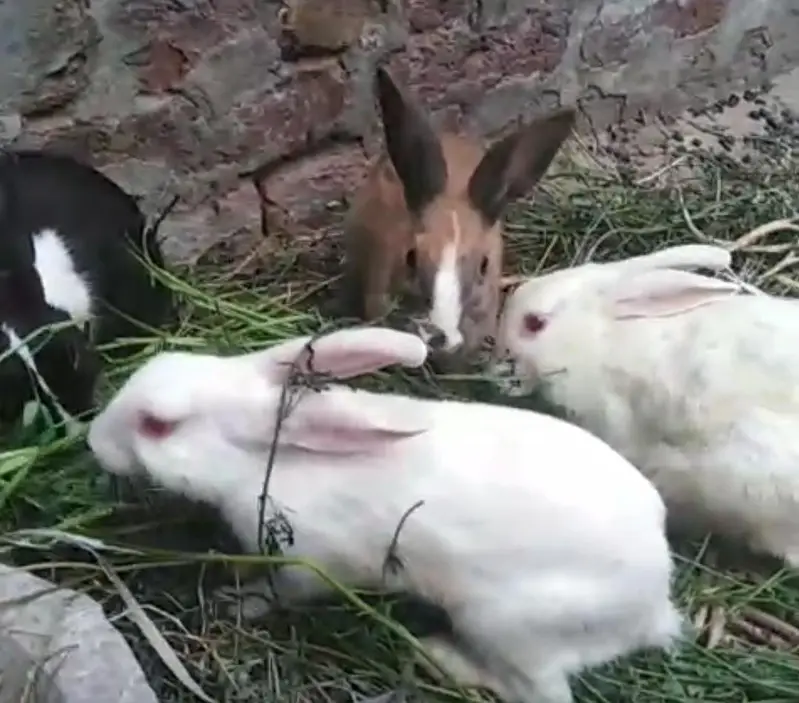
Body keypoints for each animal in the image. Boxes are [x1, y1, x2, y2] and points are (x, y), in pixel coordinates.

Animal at [87, 326, 683, 703]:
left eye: (159, 426)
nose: (93, 441)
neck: (266, 460)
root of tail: (655, 606)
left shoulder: (309, 566)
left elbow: (279, 593)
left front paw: (236, 602)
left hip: (504, 623)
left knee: (537, 692)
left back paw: (439, 653)